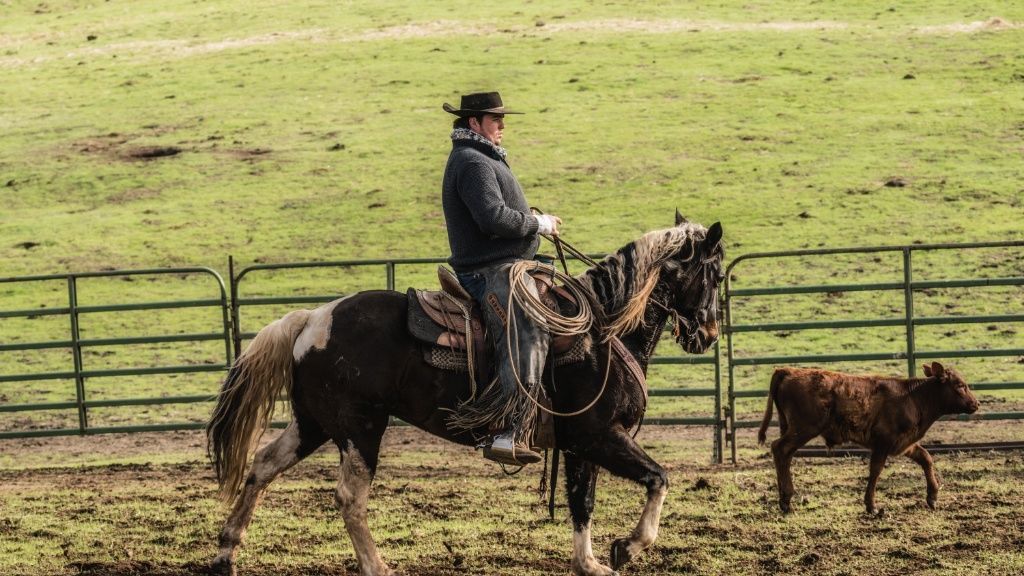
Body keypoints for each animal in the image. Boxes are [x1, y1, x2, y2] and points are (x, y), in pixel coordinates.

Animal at [205, 214, 720, 573]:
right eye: (716, 275)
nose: (708, 334)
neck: (604, 335)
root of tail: (313, 318)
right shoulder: (598, 435)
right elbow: (658, 478)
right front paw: (628, 547)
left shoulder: (579, 446)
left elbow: (582, 502)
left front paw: (590, 563)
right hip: (360, 428)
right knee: (349, 497)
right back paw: (377, 566)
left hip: (313, 422)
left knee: (263, 466)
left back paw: (227, 551)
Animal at [757, 360, 978, 512]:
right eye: (960, 385)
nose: (976, 404)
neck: (913, 397)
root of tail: (788, 370)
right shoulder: (883, 442)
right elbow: (876, 470)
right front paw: (872, 505)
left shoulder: (904, 443)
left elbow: (926, 458)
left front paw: (932, 496)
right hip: (804, 428)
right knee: (780, 449)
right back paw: (787, 500)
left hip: (792, 427)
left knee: (785, 456)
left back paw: (784, 498)